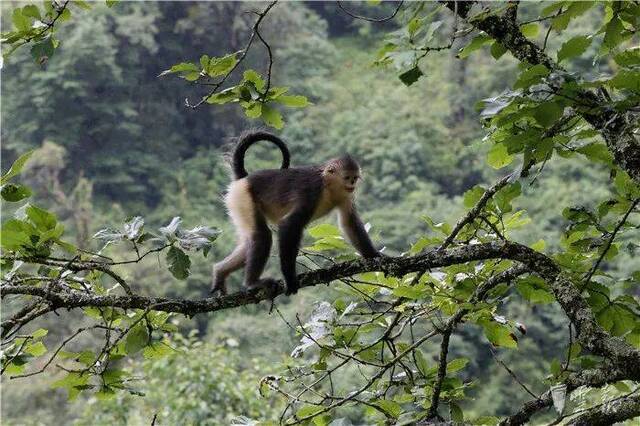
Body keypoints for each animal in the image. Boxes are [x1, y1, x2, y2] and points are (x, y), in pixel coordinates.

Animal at [210, 130, 382, 296]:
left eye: (354, 178)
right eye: (347, 177)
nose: (352, 183)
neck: (328, 186)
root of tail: (244, 179)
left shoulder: (345, 196)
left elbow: (348, 222)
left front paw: (373, 255)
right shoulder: (312, 192)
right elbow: (289, 225)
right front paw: (289, 278)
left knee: (248, 241)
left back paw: (220, 272)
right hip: (243, 199)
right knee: (262, 235)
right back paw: (252, 282)